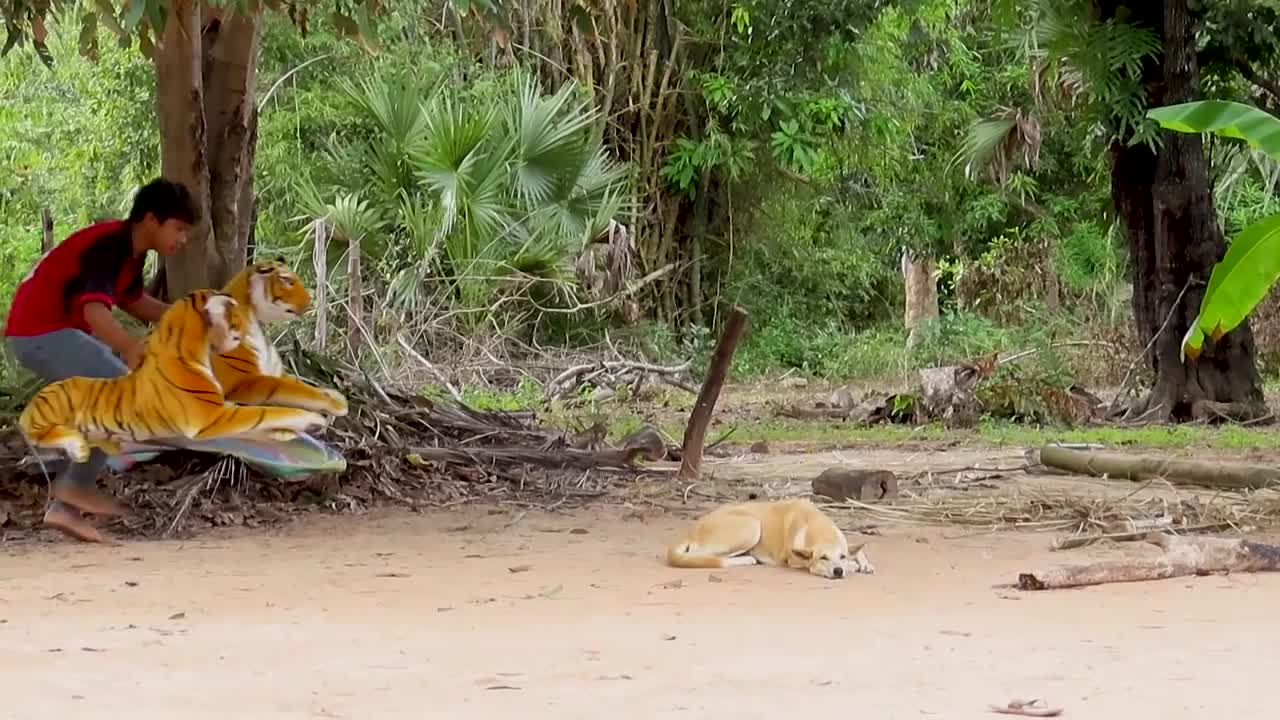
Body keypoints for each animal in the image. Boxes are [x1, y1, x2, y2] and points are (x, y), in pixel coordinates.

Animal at [665, 491, 875, 576]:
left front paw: (862, 563)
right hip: (751, 526)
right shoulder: (794, 560)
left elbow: (859, 552)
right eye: (823, 558)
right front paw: (853, 566)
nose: (838, 571)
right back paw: (746, 559)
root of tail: (692, 529)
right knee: (702, 557)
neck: (818, 526)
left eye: (842, 555)